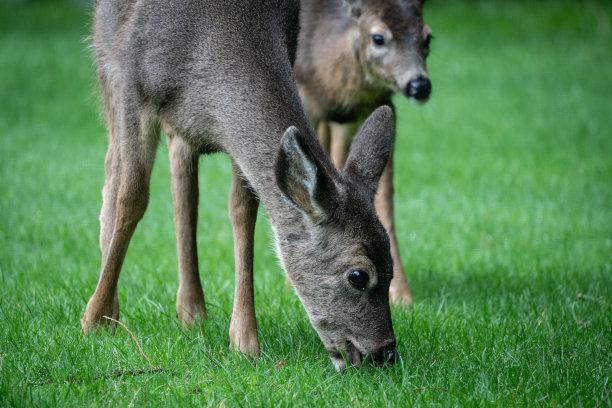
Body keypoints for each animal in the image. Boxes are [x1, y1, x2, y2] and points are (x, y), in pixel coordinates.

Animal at [83, 0, 402, 372]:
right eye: (358, 275)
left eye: (391, 267)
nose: (385, 352)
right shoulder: (135, 85)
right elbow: (132, 196)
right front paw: (95, 319)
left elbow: (244, 212)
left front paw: (244, 340)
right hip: (105, 61)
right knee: (114, 169)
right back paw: (113, 303)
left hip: (178, 127)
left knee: (184, 189)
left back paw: (191, 310)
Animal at [294, 0, 432, 306]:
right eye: (378, 37)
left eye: (428, 38)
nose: (419, 85)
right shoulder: (310, 104)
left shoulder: (376, 109)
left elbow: (385, 199)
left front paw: (402, 296)